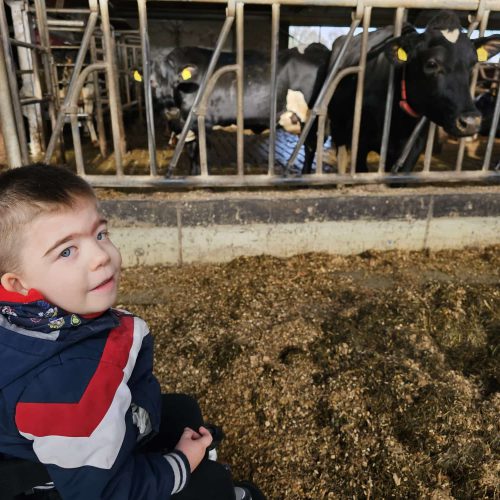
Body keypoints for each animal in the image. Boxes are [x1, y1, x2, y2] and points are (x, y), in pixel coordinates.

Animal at [149, 43, 328, 176]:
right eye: (152, 83)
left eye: (176, 82)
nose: (171, 111)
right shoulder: (184, 127)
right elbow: (190, 152)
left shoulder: (201, 123)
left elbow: (199, 152)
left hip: (309, 117)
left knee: (310, 147)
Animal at [328, 9, 500, 173]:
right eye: (431, 64)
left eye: (472, 64)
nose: (471, 122)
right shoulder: (360, 142)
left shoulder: (413, 149)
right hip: (337, 125)